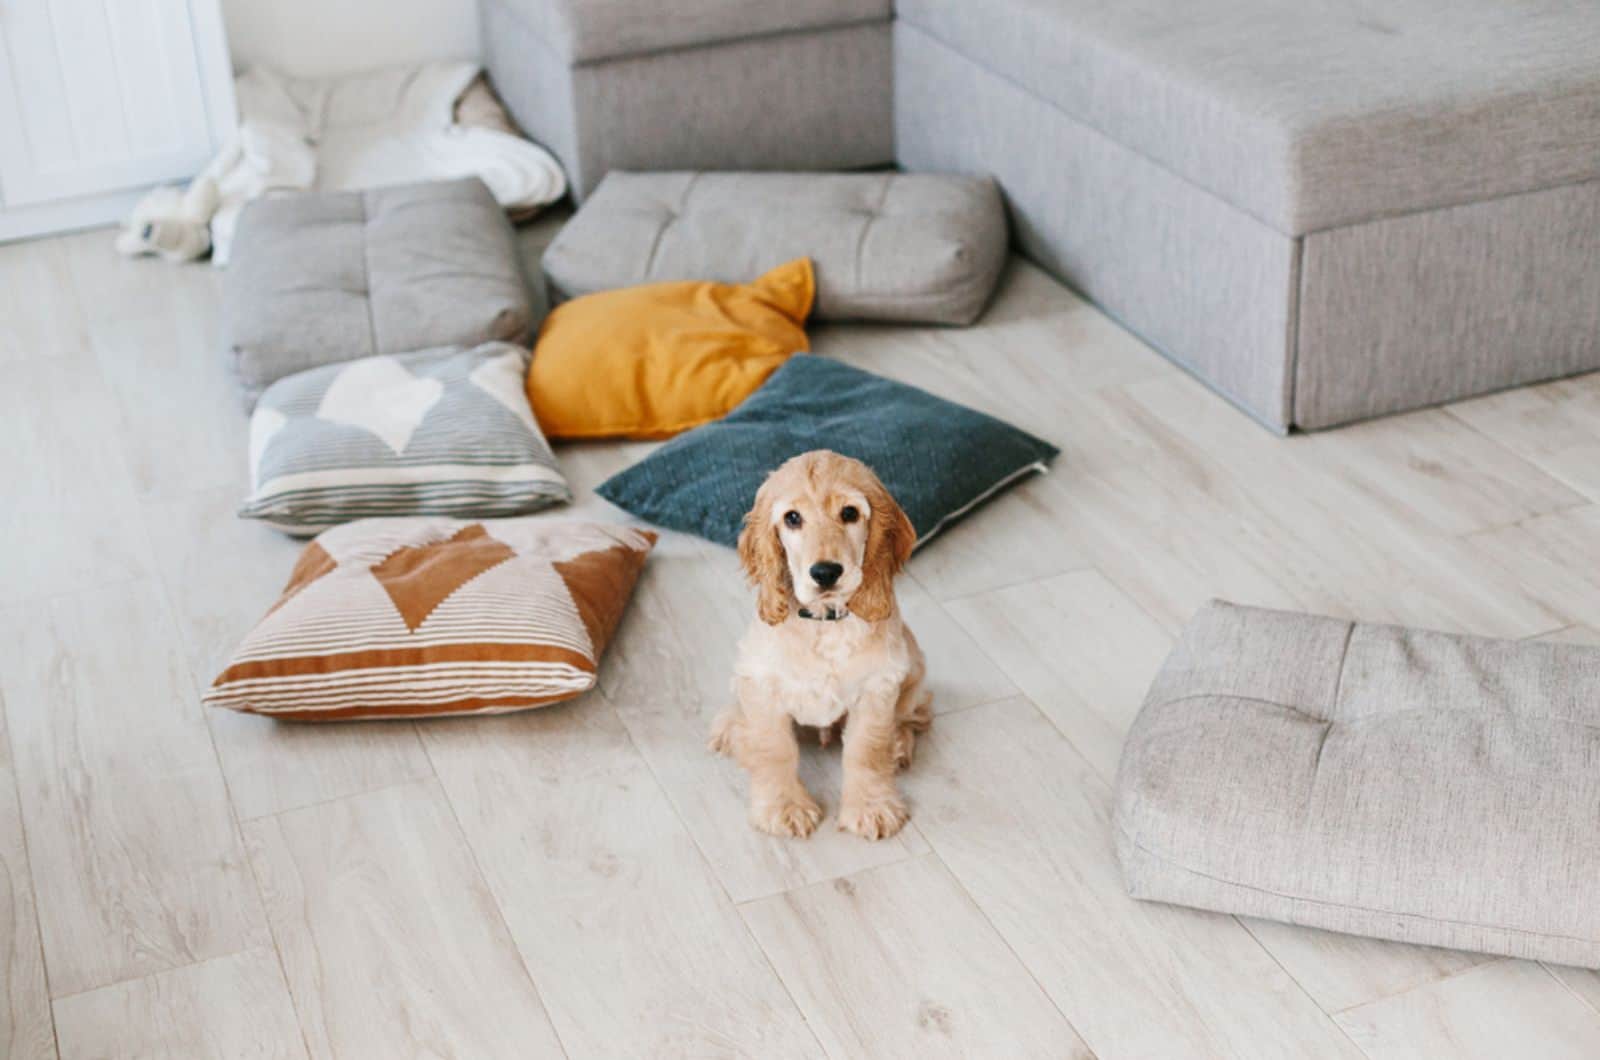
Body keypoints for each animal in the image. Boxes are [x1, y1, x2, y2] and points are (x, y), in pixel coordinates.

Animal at [710, 451, 934, 845]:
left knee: (913, 714)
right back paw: (732, 731)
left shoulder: (879, 685)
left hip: (915, 665)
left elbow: (866, 749)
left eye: (850, 513)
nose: (826, 573)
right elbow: (774, 747)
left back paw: (899, 744)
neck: (824, 622)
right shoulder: (760, 682)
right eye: (792, 518)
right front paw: (784, 808)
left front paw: (871, 807)